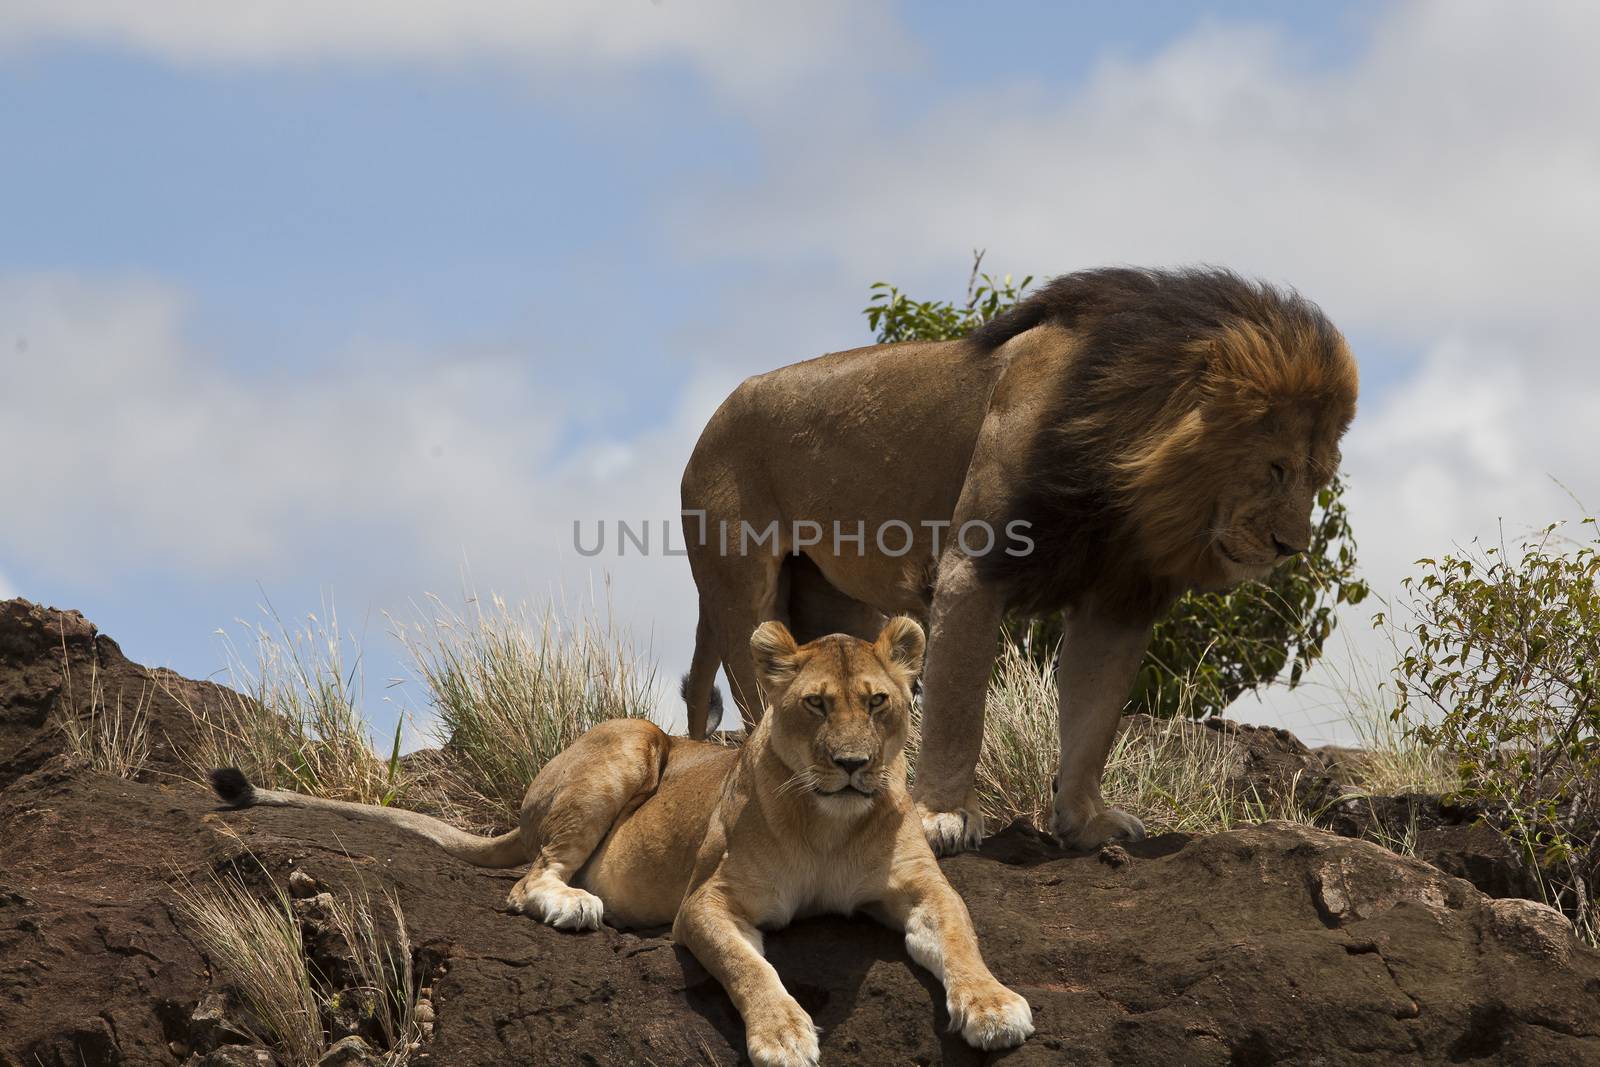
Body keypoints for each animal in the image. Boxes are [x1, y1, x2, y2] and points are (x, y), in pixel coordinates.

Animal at [206, 617, 1030, 1067]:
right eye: (817, 705)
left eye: (879, 702)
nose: (856, 765)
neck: (832, 823)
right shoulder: (708, 902)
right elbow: (751, 969)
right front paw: (783, 1032)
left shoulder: (923, 888)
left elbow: (962, 939)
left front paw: (993, 1007)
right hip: (630, 740)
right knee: (529, 877)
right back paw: (572, 904)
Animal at [681, 271, 1356, 857]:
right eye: (1275, 469)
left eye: (1319, 478)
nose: (1291, 546)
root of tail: (713, 419)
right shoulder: (972, 568)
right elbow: (958, 708)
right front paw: (942, 816)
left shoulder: (1120, 597)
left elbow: (1093, 718)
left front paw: (1086, 822)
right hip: (743, 590)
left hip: (836, 604)